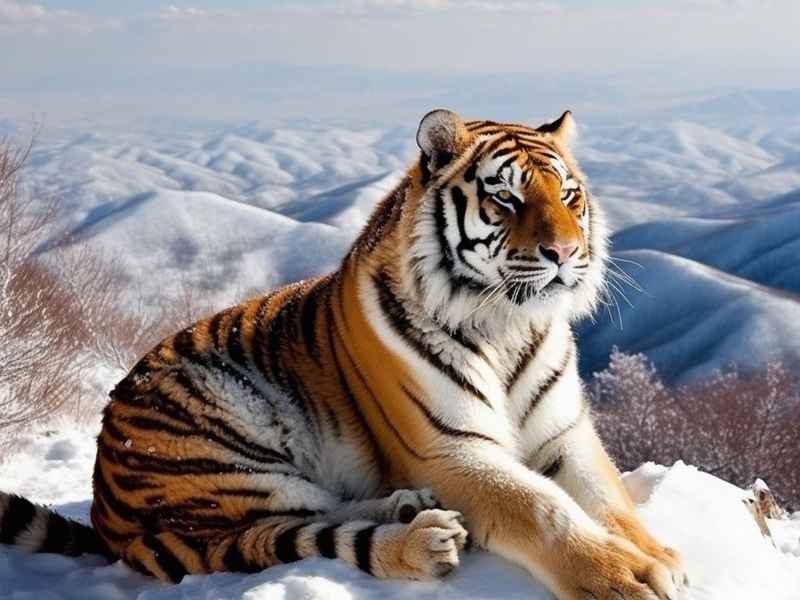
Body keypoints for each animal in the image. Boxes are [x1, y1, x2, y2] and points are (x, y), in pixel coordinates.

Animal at [0, 109, 687, 600]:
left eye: (569, 196)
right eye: (507, 199)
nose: (566, 253)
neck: (507, 326)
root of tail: (103, 505)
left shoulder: (565, 434)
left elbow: (610, 500)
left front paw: (663, 557)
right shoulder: (452, 451)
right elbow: (543, 509)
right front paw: (626, 578)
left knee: (317, 511)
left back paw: (409, 507)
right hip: (225, 453)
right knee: (276, 535)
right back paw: (420, 539)